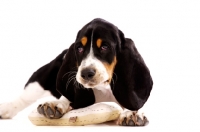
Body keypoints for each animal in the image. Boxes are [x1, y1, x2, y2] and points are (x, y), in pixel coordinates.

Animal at [0, 18, 153, 126]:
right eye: (79, 48)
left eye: (105, 47)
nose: (86, 73)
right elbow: (66, 99)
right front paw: (55, 105)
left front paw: (132, 113)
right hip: (41, 79)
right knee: (24, 97)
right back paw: (6, 109)